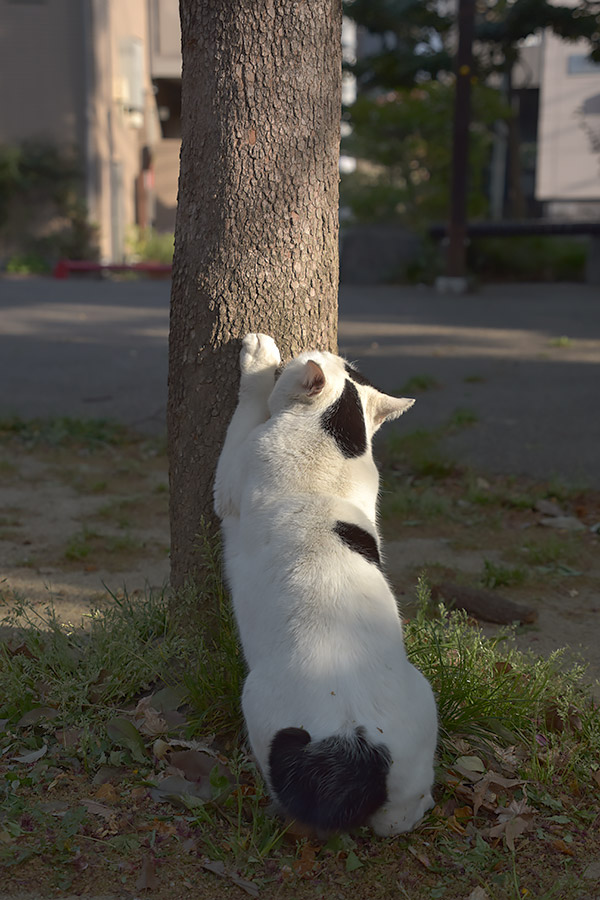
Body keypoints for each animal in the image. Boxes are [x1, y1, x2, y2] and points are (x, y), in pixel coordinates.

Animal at [213, 332, 438, 836]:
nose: (313, 348)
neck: (332, 444)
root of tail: (360, 745)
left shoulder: (232, 476)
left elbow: (247, 404)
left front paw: (260, 356)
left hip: (256, 700)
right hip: (422, 700)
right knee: (397, 818)